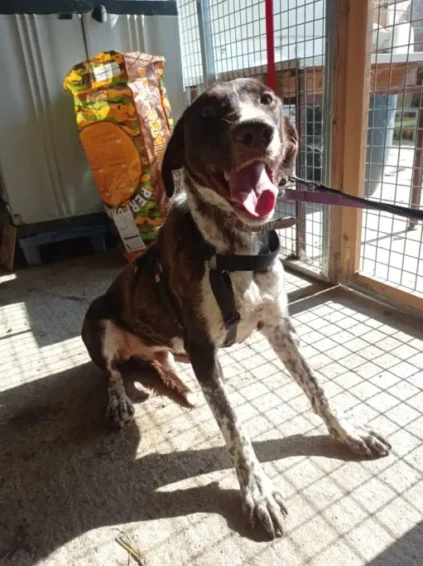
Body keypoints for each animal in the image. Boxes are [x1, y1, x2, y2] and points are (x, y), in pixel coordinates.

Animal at [82, 78, 391, 538]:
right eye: (208, 113)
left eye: (267, 99)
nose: (256, 131)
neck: (235, 248)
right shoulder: (204, 350)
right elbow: (234, 427)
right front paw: (257, 493)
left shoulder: (280, 326)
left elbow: (317, 389)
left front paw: (349, 433)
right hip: (96, 321)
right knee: (114, 373)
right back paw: (120, 401)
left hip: (169, 350)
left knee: (162, 362)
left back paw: (181, 384)